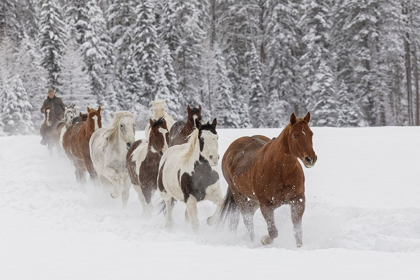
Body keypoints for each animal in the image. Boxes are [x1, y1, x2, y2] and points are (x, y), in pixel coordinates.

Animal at [218, 112, 316, 246]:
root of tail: (230, 150)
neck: (281, 171)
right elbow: (273, 232)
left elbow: (298, 231)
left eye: (311, 134)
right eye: (295, 135)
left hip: (254, 199)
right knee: (247, 219)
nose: (310, 159)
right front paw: (264, 240)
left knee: (248, 212)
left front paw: (299, 247)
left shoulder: (298, 200)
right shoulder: (266, 204)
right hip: (239, 195)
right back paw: (252, 240)